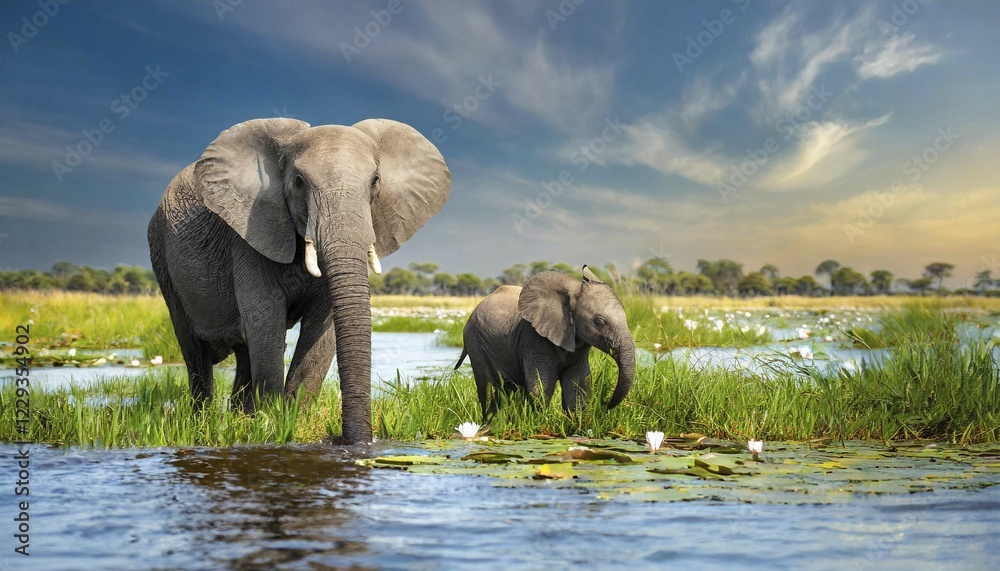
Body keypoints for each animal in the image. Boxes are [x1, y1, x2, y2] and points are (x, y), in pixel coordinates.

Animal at [147, 117, 451, 444]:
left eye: (375, 181)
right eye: (299, 182)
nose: (353, 440)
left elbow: (321, 331)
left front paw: (293, 424)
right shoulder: (250, 234)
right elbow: (266, 323)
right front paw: (271, 427)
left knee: (243, 352)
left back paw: (238, 419)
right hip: (162, 256)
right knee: (195, 353)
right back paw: (202, 423)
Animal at [455, 269, 635, 421]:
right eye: (600, 321)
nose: (606, 405)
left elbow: (577, 387)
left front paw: (575, 424)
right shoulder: (534, 338)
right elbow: (541, 387)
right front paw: (539, 422)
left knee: (503, 391)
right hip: (475, 342)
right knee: (487, 388)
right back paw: (486, 424)